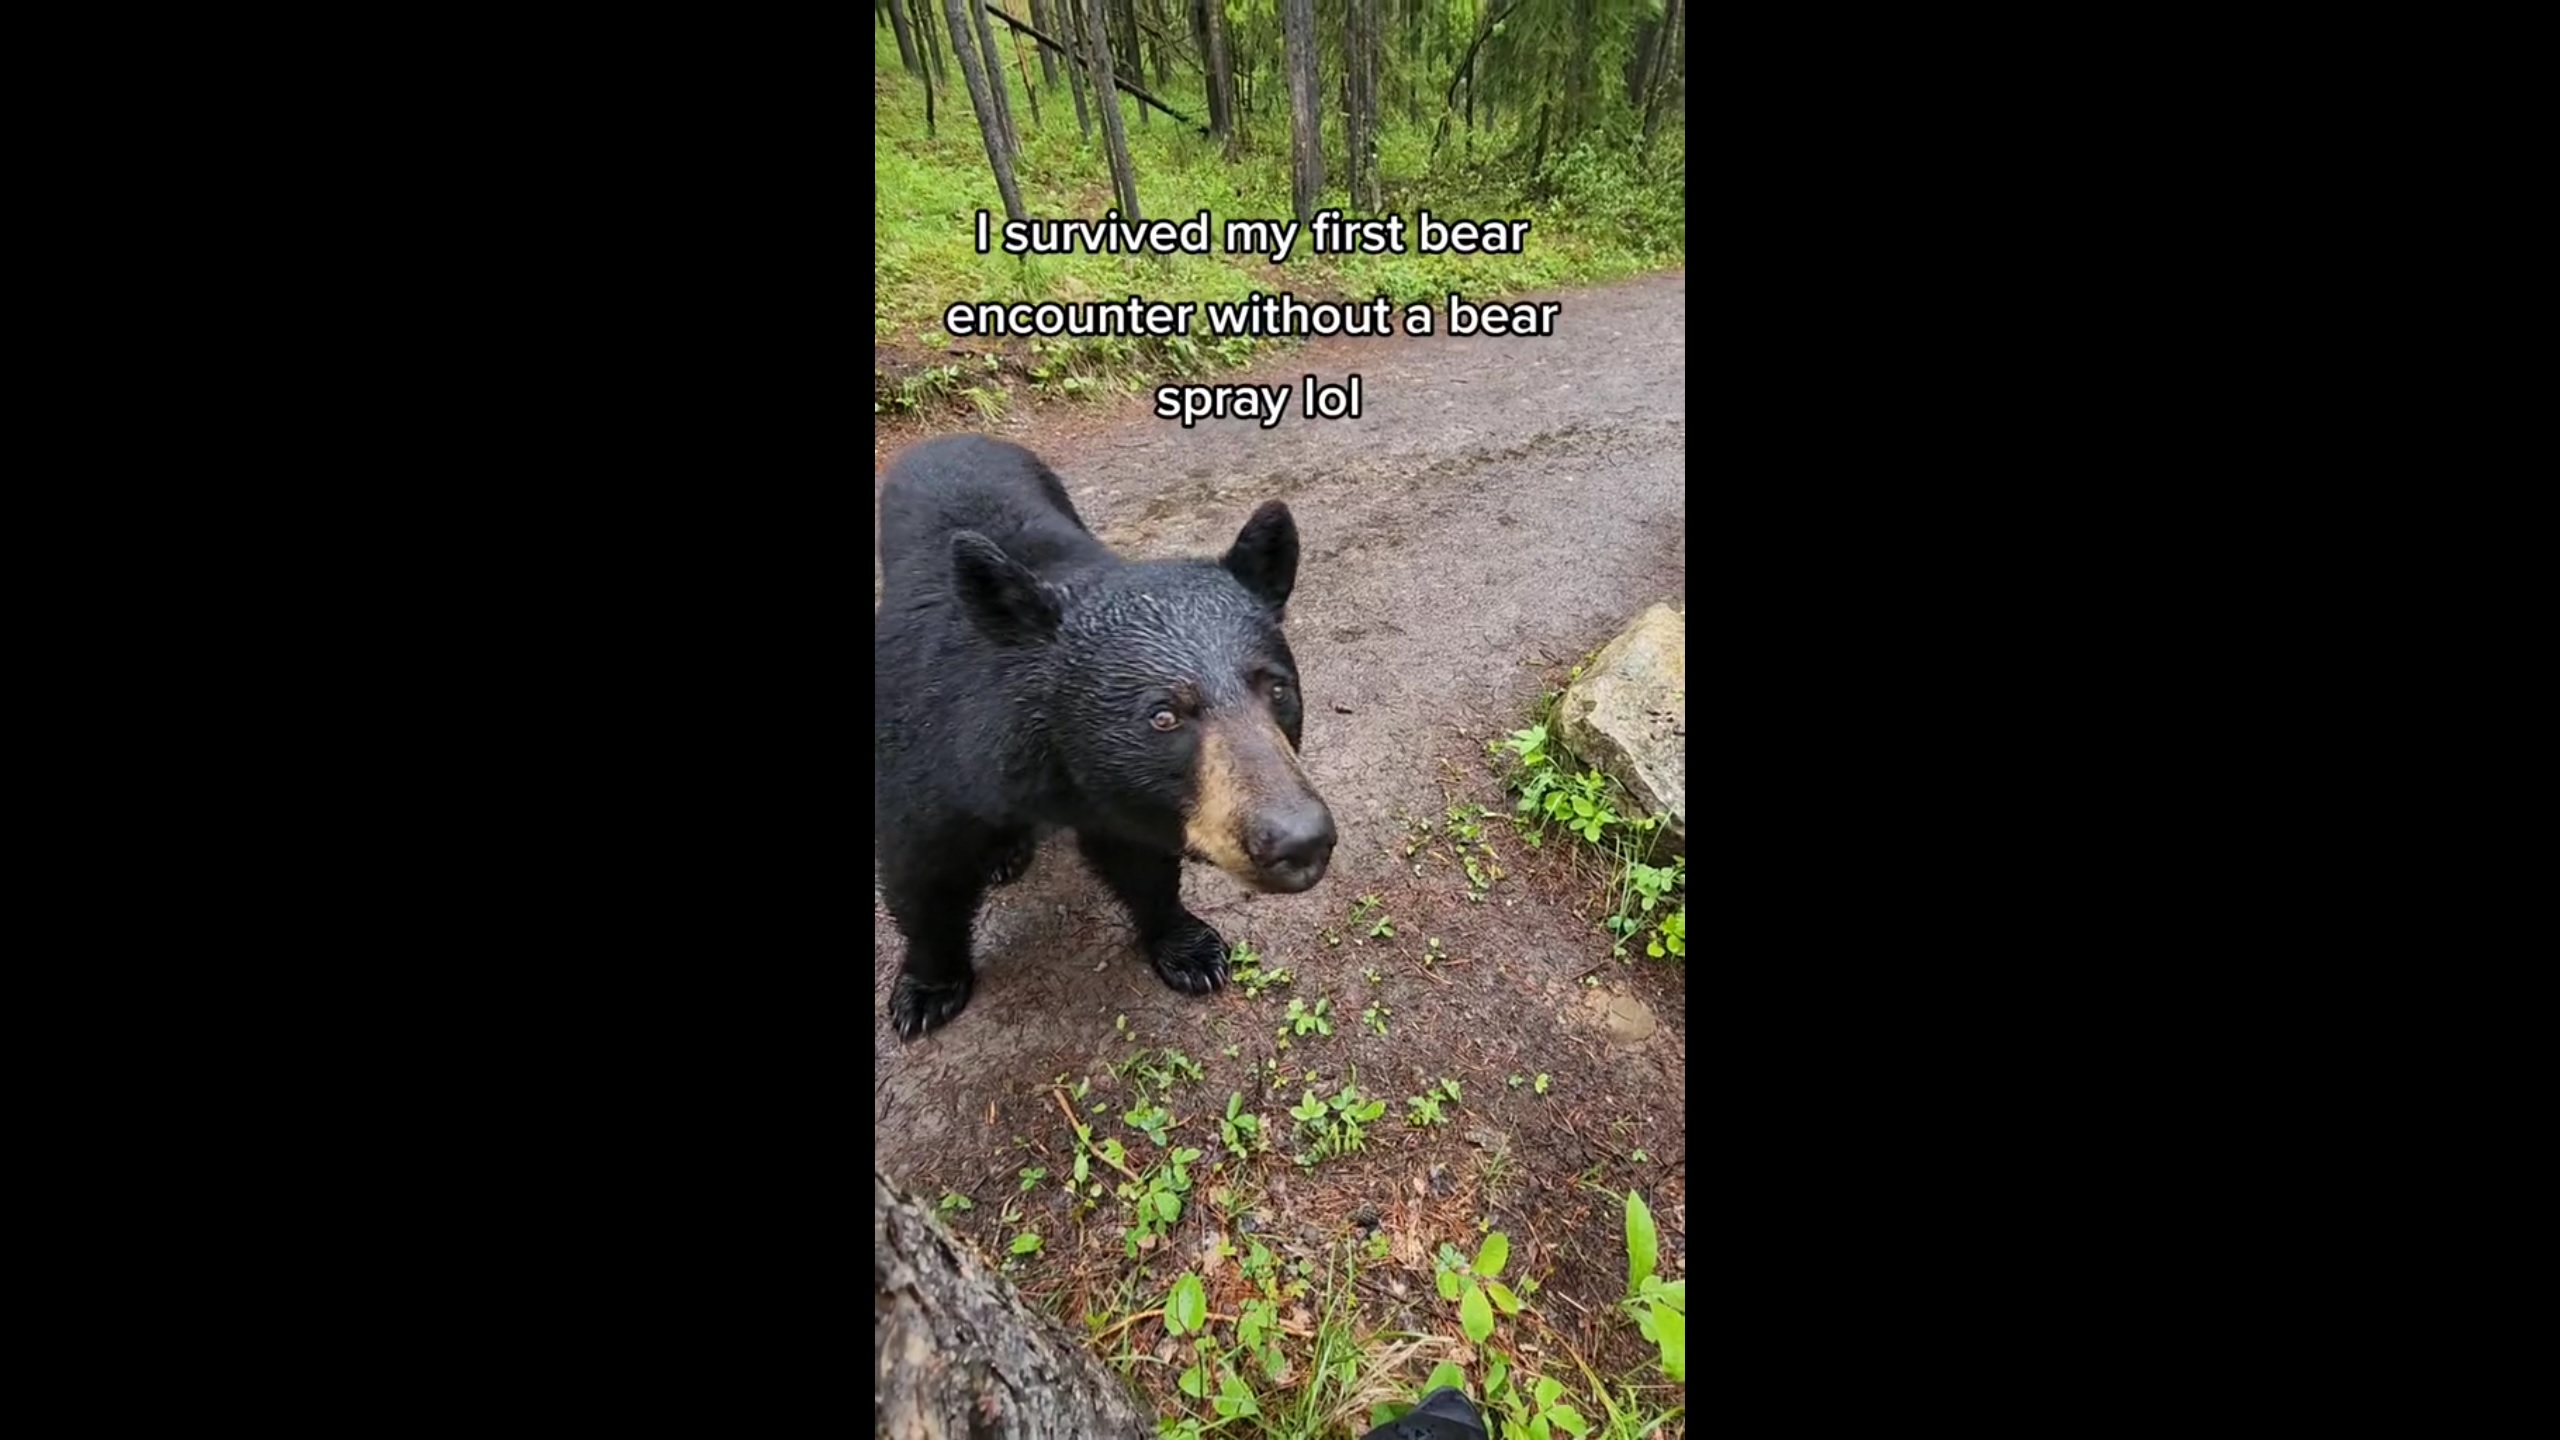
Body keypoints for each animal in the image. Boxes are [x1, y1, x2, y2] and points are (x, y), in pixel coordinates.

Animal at [875, 430, 1331, 1035]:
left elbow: (1143, 867)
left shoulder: (1127, 798)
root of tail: (953, 436)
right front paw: (927, 989)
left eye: (1276, 688)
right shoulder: (929, 754)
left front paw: (1189, 948)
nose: (1300, 840)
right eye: (1163, 715)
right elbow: (921, 875)